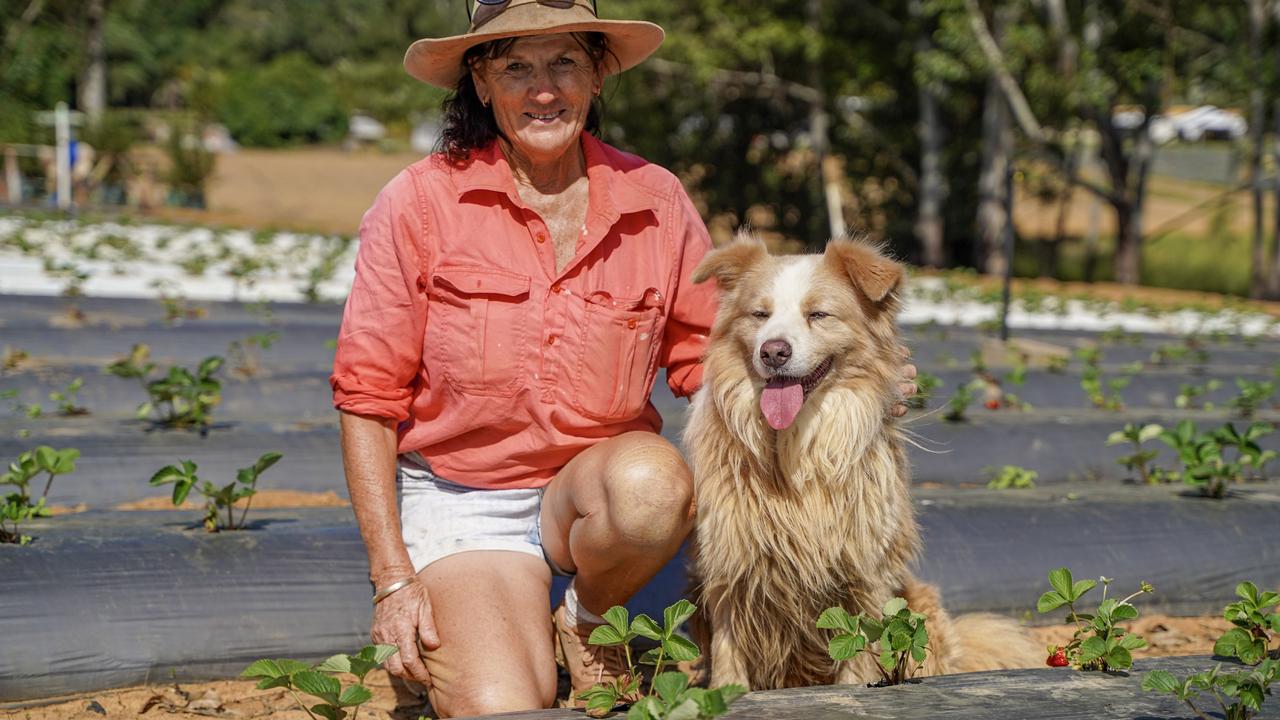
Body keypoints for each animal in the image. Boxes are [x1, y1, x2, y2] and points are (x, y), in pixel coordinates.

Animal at [680, 233, 1039, 686]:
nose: (773, 352)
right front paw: (724, 692)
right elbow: (729, 648)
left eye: (818, 314)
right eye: (759, 314)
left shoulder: (862, 574)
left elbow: (857, 655)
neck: (795, 444)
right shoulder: (728, 562)